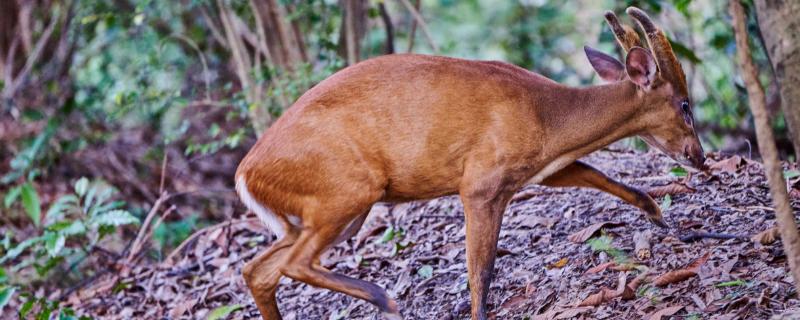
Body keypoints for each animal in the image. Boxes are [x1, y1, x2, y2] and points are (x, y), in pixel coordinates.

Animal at [234, 7, 704, 320]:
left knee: (258, 269)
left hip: (327, 211)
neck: (547, 117)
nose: (698, 157)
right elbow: (481, 272)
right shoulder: (480, 182)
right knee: (292, 264)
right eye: (685, 105)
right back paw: (385, 298)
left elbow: (608, 178)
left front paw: (663, 219)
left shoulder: (539, 170)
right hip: (347, 189)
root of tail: (244, 174)